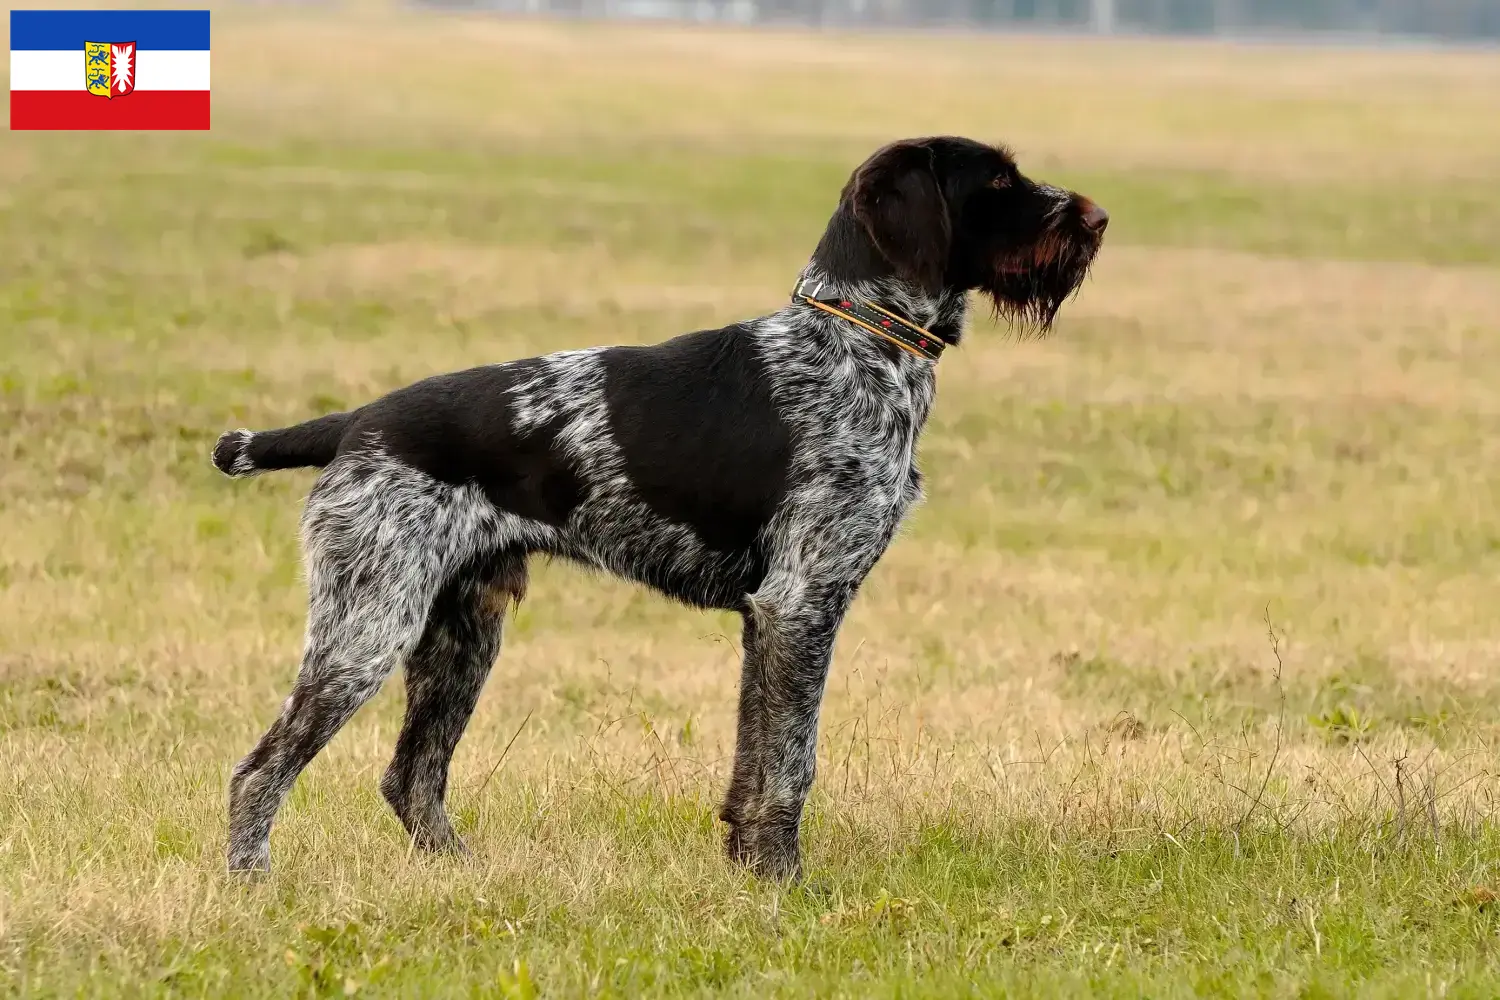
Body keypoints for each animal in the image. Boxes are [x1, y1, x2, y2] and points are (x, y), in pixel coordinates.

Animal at [211, 134, 1104, 875]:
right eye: (998, 180)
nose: (1098, 219)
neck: (858, 341)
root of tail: (357, 422)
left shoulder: (770, 619)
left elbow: (754, 761)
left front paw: (747, 870)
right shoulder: (802, 604)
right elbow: (790, 763)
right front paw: (784, 882)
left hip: (462, 633)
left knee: (410, 777)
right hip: (368, 628)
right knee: (259, 771)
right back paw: (253, 882)